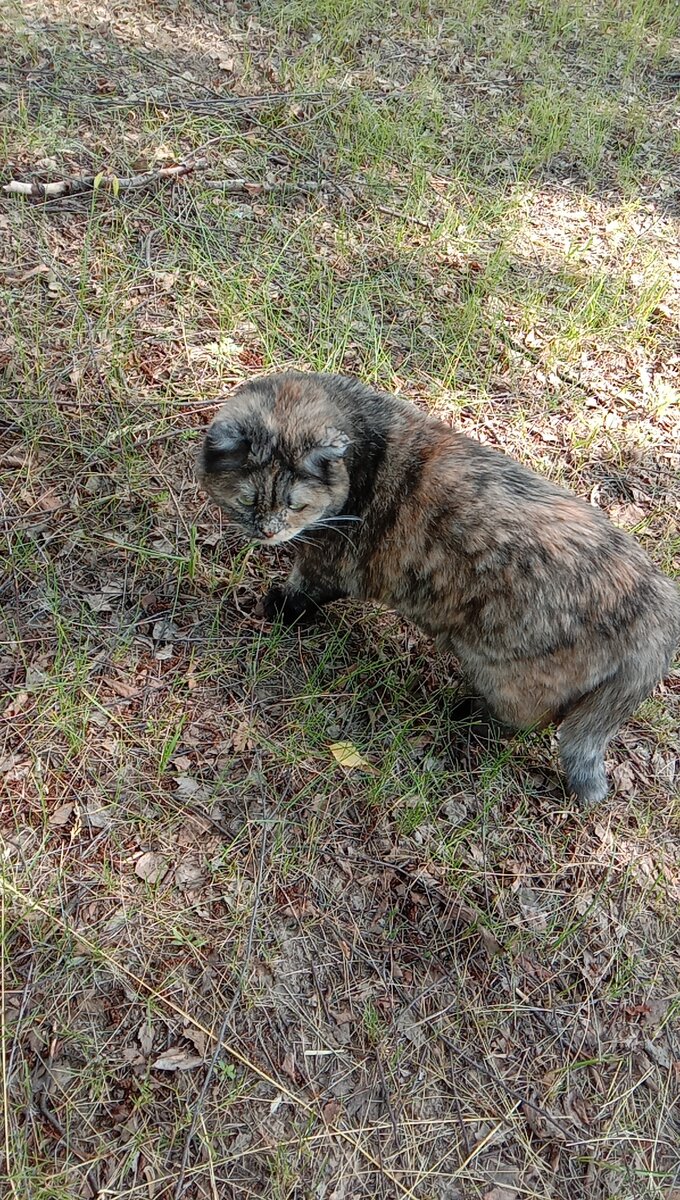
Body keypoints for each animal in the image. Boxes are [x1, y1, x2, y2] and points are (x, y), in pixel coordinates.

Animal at [197, 372, 680, 806]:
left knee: (529, 720)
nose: (267, 531)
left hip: (507, 673)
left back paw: (466, 716)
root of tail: (657, 605)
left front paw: (275, 607)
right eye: (247, 500)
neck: (364, 452)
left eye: (295, 504)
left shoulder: (328, 564)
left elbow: (302, 591)